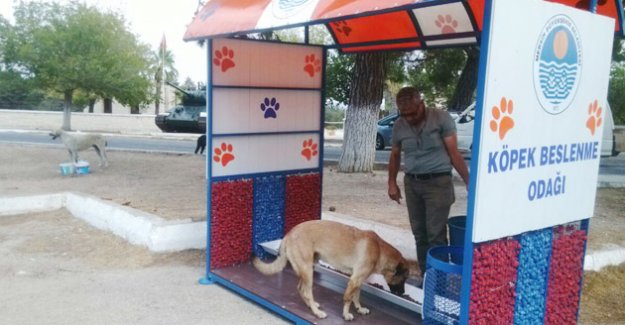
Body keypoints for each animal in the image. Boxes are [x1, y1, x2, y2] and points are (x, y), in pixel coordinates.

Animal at [250, 219, 420, 320]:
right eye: (404, 279)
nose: (402, 293)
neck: (379, 250)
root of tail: (289, 234)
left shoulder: (358, 280)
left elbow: (356, 296)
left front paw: (360, 309)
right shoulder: (355, 280)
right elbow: (348, 298)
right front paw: (346, 314)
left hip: (308, 268)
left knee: (301, 288)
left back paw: (311, 305)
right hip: (308, 270)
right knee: (306, 291)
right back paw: (316, 312)